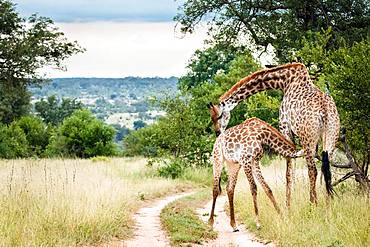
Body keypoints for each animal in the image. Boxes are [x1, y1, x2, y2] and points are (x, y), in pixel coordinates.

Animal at [212, 62, 340, 206]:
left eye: (218, 116)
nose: (218, 132)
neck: (285, 81)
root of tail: (324, 110)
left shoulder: (285, 128)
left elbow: (288, 171)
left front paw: (288, 204)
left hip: (308, 138)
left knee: (313, 170)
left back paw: (313, 204)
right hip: (331, 136)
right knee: (326, 168)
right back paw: (328, 204)